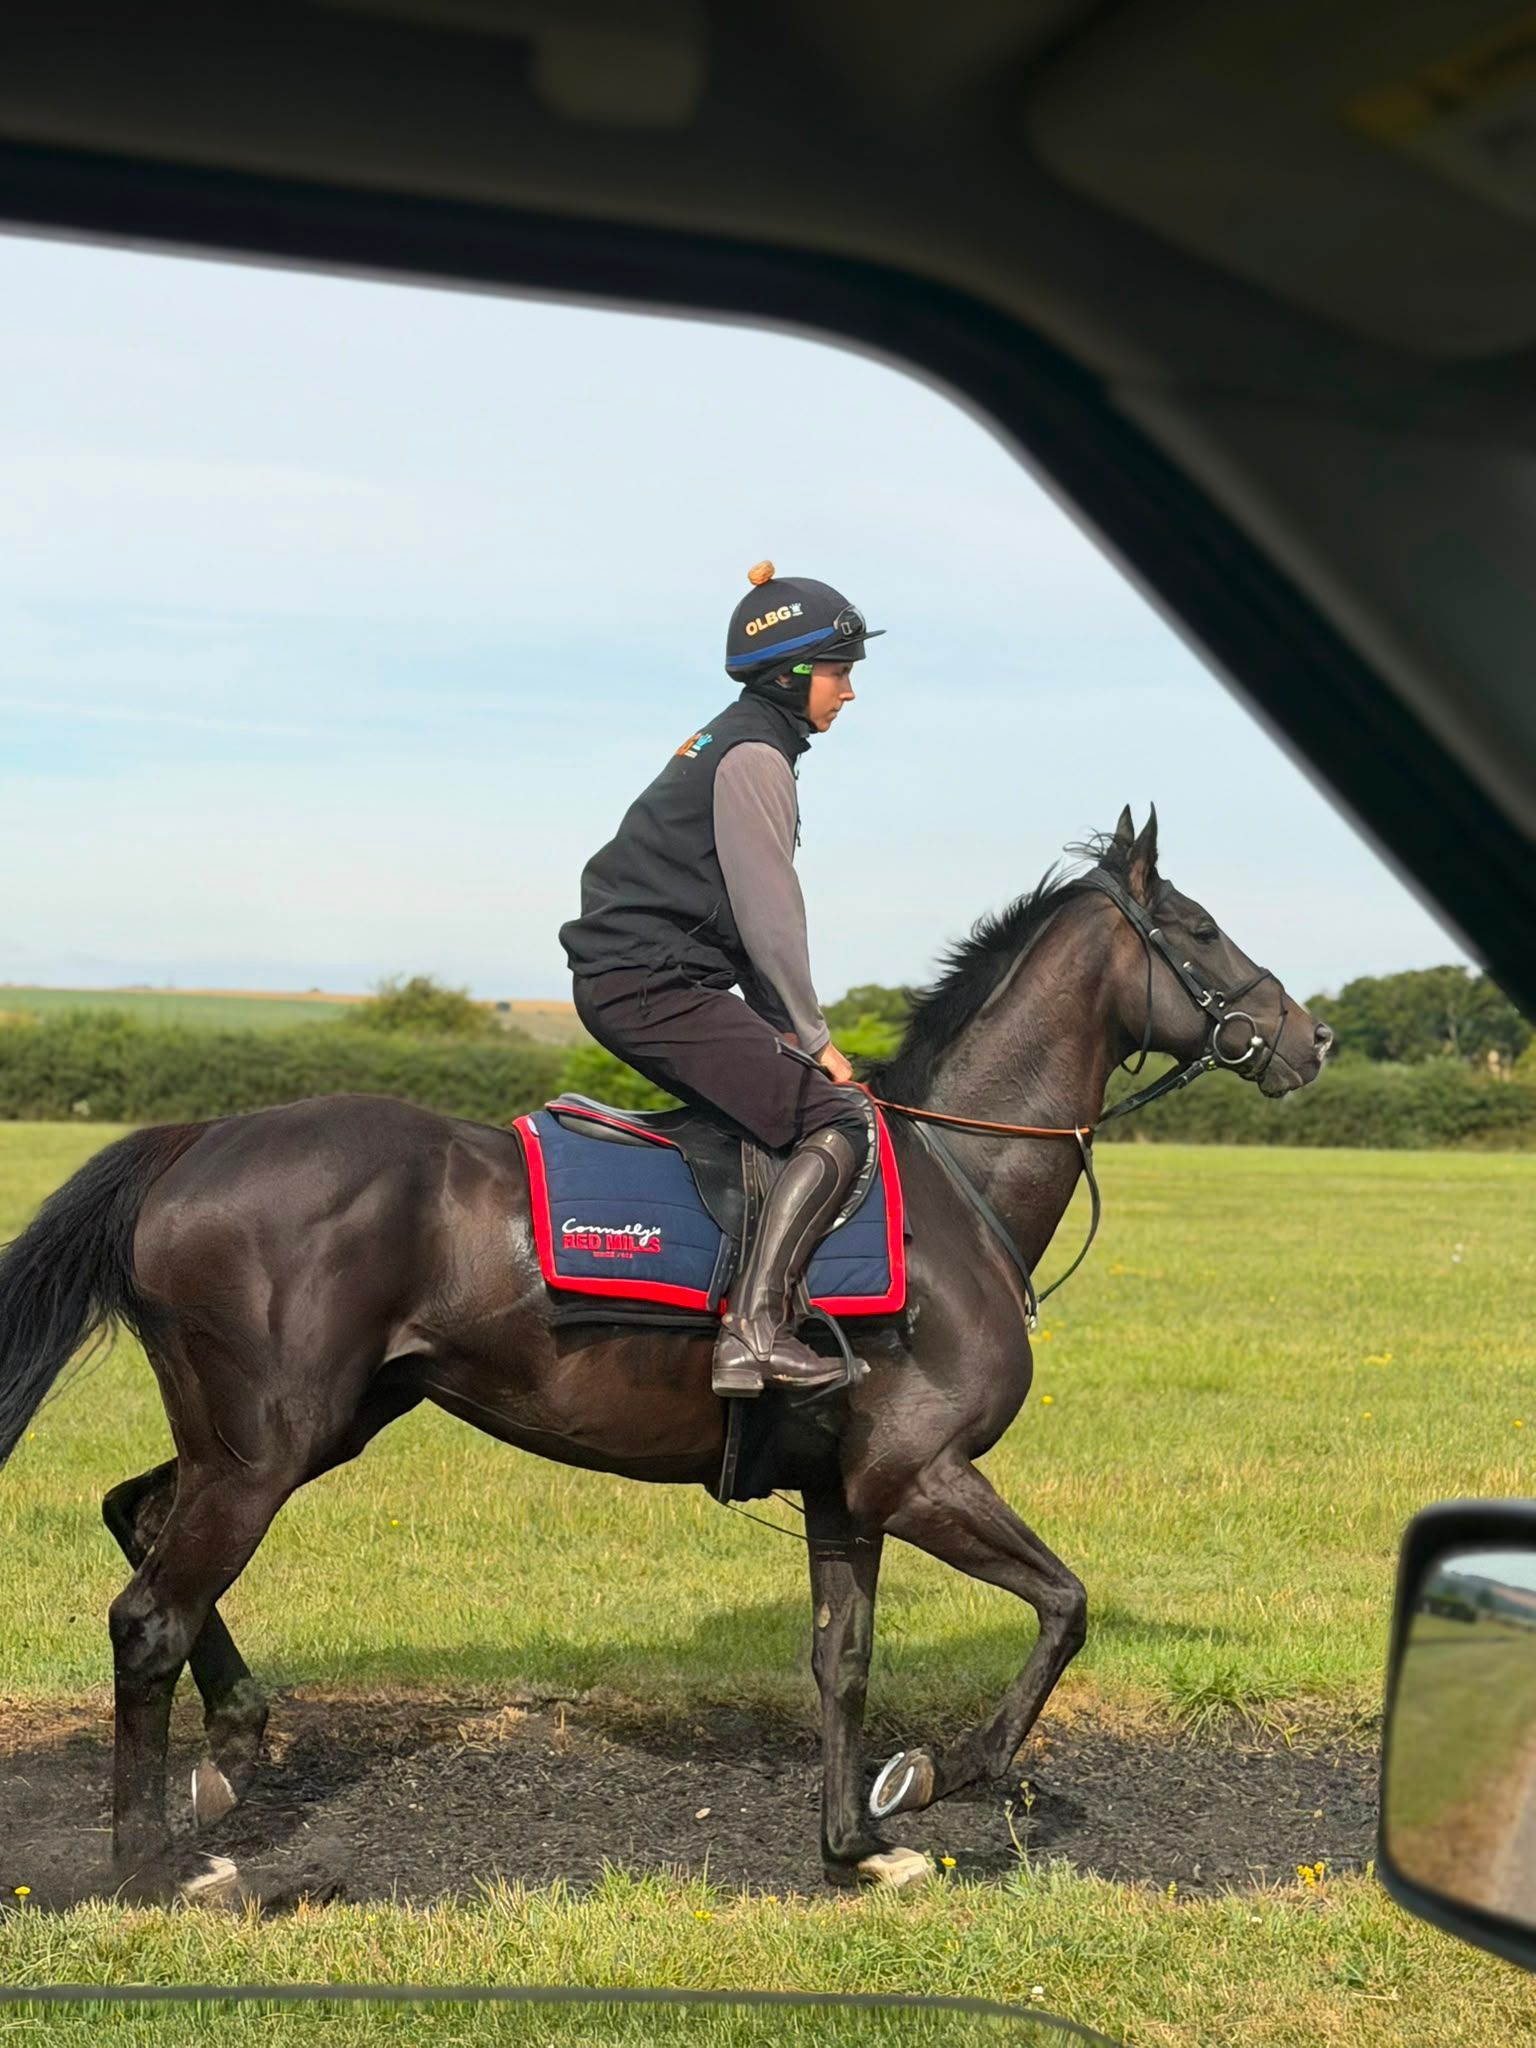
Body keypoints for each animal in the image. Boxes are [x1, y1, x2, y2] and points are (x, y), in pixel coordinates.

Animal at [0, 807, 1331, 1901]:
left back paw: (231, 1750)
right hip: (268, 1448)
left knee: (137, 1520)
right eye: (1199, 928)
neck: (956, 1183)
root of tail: (193, 1140)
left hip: (292, 1431)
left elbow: (844, 1659)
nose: (1309, 1037)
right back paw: (154, 1863)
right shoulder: (919, 1474)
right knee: (149, 1616)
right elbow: (1064, 1605)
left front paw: (857, 1841)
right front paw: (943, 1774)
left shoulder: (846, 1493)